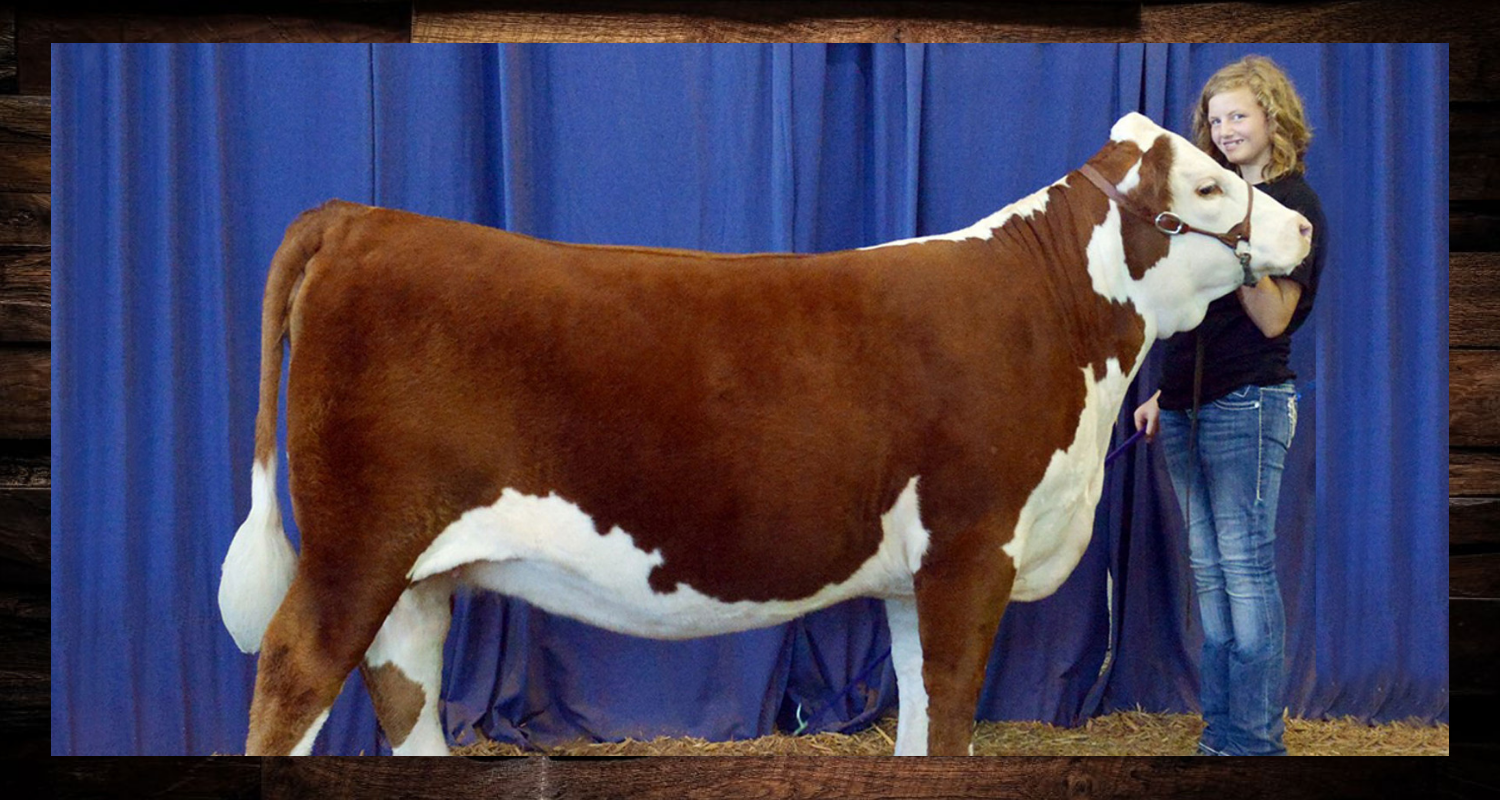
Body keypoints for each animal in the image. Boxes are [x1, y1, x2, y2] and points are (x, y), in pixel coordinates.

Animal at [218, 112, 1311, 756]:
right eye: (1208, 187)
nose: (1303, 230)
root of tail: (361, 218)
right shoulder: (972, 548)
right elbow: (952, 714)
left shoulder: (916, 574)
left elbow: (922, 719)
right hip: (358, 547)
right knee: (294, 673)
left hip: (415, 569)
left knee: (403, 688)